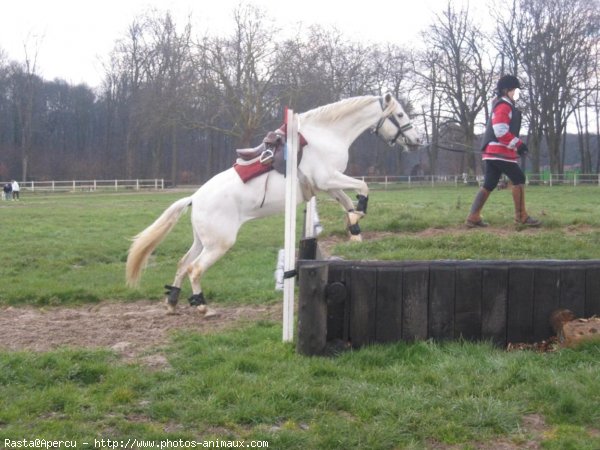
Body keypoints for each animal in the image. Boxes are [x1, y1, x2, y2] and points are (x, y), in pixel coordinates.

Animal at [125, 93, 420, 314]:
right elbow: (363, 187)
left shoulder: (326, 184)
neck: (326, 135)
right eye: (401, 115)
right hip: (219, 243)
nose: (417, 141)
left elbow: (347, 199)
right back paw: (202, 306)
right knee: (195, 269)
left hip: (203, 240)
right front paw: (360, 213)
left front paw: (355, 227)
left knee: (182, 264)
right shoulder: (329, 178)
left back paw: (173, 301)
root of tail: (194, 198)